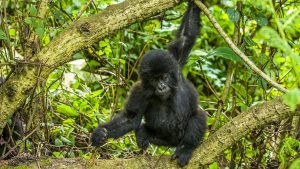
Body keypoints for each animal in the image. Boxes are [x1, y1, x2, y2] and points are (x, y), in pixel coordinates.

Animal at [91, 1, 206, 166]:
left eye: (164, 77)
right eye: (153, 80)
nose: (161, 87)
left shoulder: (175, 63)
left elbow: (186, 36)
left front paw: (194, 4)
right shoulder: (139, 90)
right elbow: (130, 118)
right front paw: (102, 133)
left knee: (198, 115)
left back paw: (186, 148)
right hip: (163, 141)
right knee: (141, 131)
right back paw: (143, 143)